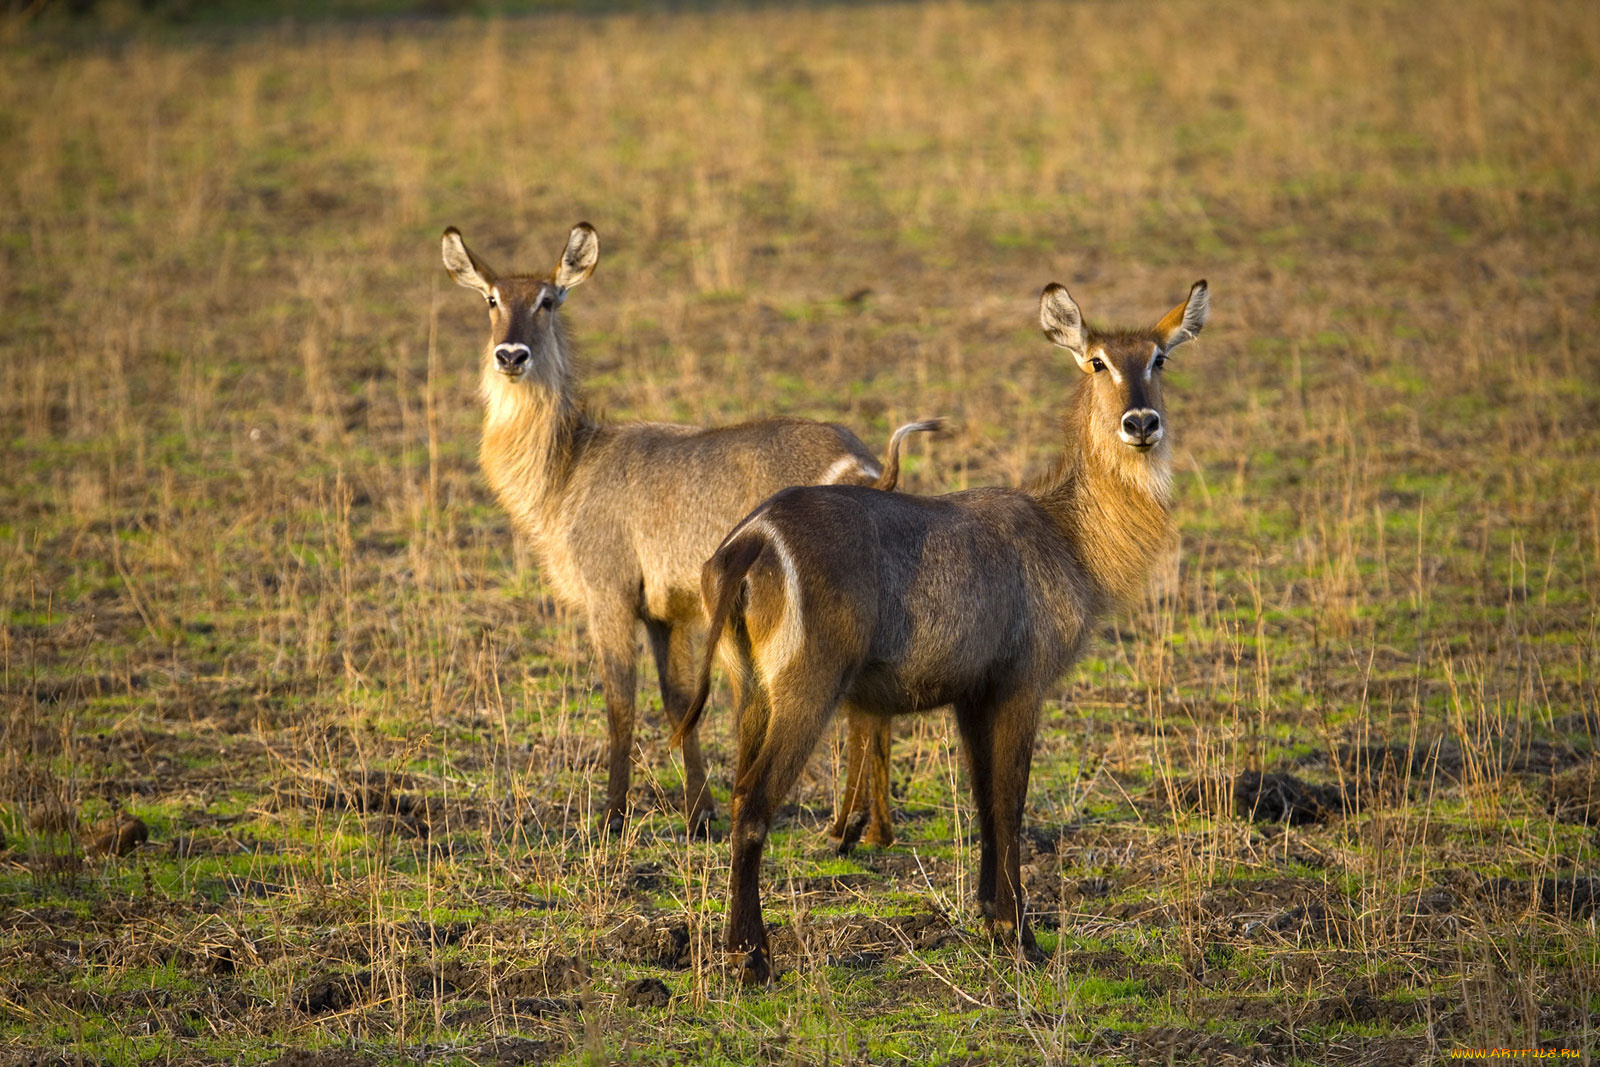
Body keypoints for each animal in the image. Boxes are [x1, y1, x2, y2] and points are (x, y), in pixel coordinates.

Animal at [438, 225, 934, 838]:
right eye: (491, 300)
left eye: (548, 301)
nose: (511, 355)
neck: (569, 466)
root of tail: (867, 466)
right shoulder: (663, 611)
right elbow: (678, 702)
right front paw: (699, 812)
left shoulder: (608, 595)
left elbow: (620, 705)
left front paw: (612, 817)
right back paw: (871, 830)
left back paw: (845, 830)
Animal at [675, 278, 1209, 985]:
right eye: (1097, 361)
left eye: (1159, 359)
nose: (1141, 423)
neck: (1066, 534)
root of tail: (752, 541)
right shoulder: (1020, 683)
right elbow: (1010, 804)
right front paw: (1022, 937)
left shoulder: (971, 693)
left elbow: (983, 801)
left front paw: (991, 919)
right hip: (805, 688)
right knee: (756, 806)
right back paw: (751, 958)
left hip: (749, 689)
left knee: (738, 793)